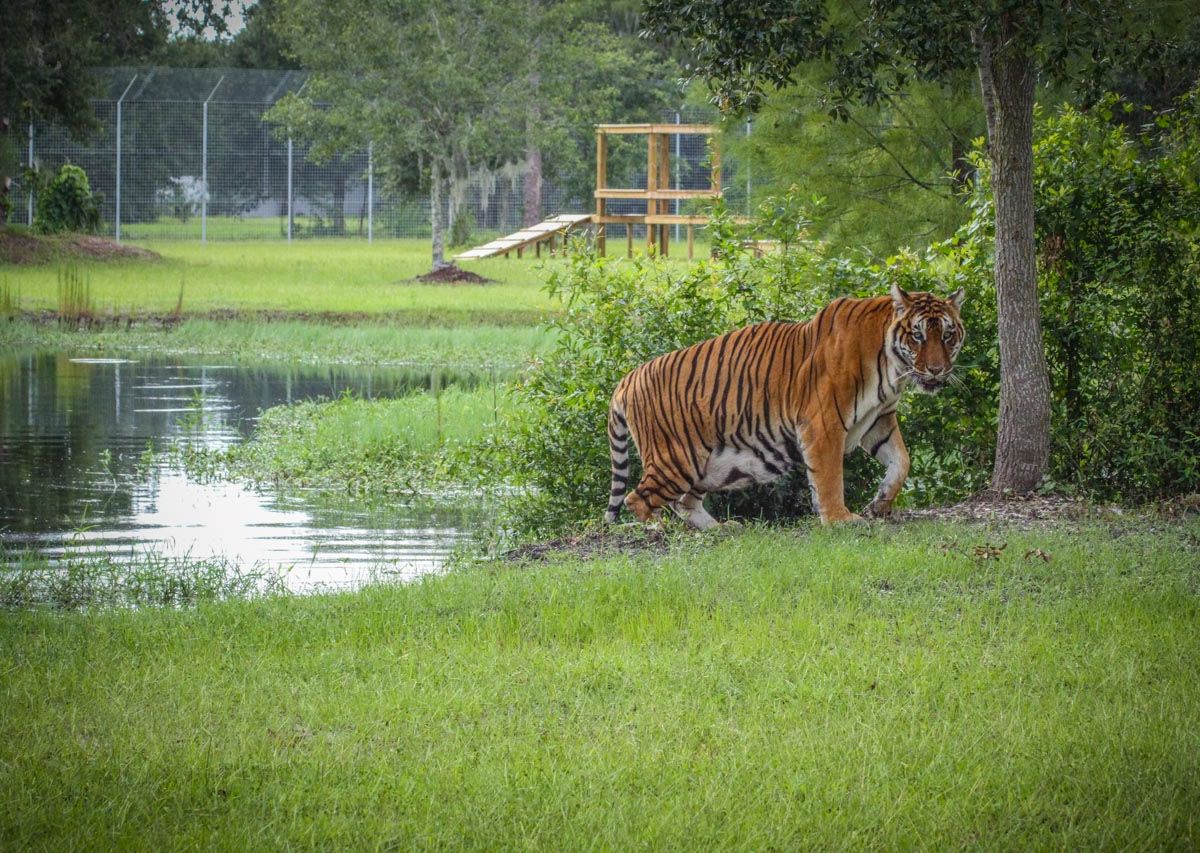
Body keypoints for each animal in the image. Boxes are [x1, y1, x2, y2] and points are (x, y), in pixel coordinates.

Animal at [603, 285, 965, 528]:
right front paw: (840, 518)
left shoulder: (879, 421)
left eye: (948, 336)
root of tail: (628, 378)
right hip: (677, 459)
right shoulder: (823, 425)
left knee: (682, 501)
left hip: (708, 467)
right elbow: (830, 478)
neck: (892, 371)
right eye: (918, 336)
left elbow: (902, 462)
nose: (937, 370)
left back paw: (719, 529)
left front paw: (880, 505)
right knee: (638, 498)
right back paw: (658, 528)